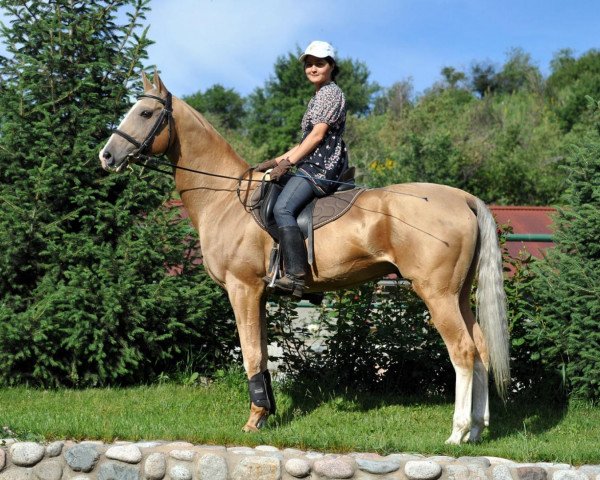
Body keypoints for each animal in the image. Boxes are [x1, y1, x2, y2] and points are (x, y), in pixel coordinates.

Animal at [99, 69, 510, 444]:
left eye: (146, 113)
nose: (106, 155)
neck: (226, 198)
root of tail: (462, 197)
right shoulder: (259, 296)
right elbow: (263, 355)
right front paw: (265, 415)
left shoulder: (242, 290)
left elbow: (250, 355)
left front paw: (253, 421)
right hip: (458, 295)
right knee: (482, 350)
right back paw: (477, 430)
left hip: (437, 295)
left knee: (462, 351)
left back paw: (458, 432)